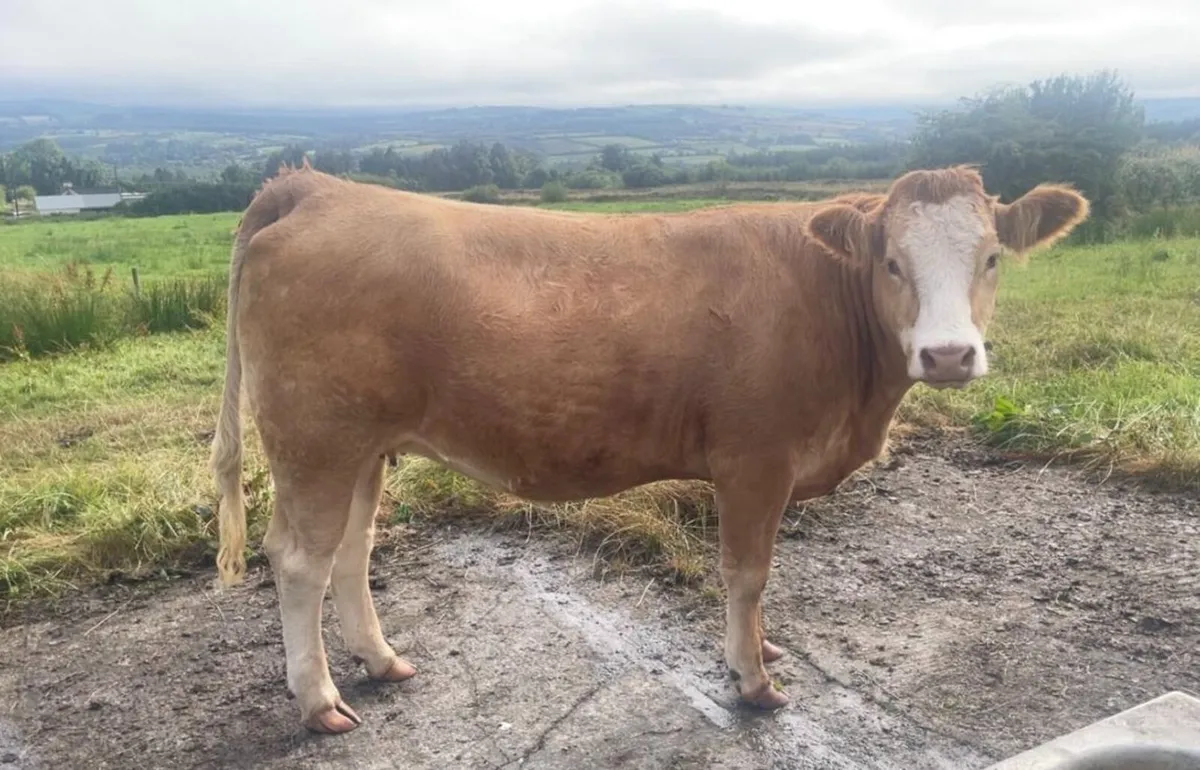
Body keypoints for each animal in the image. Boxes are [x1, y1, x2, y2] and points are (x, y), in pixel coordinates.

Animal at [208, 162, 1088, 733]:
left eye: (992, 257)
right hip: (316, 440)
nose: (948, 354)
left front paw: (761, 645)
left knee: (351, 550)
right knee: (300, 560)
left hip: (363, 446)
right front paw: (751, 677)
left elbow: (758, 580)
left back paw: (381, 659)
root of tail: (318, 187)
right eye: (893, 262)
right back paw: (319, 701)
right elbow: (746, 572)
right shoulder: (754, 460)